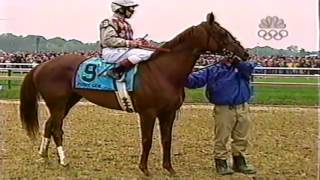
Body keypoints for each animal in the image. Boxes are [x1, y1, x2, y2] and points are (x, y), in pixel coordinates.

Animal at [20, 13, 249, 176]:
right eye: (223, 33)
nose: (244, 53)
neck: (163, 71)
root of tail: (41, 65)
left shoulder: (168, 113)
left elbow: (166, 140)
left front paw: (169, 168)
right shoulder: (147, 113)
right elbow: (147, 139)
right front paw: (144, 169)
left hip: (68, 101)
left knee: (49, 125)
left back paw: (44, 156)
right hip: (57, 103)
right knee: (57, 129)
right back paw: (64, 161)